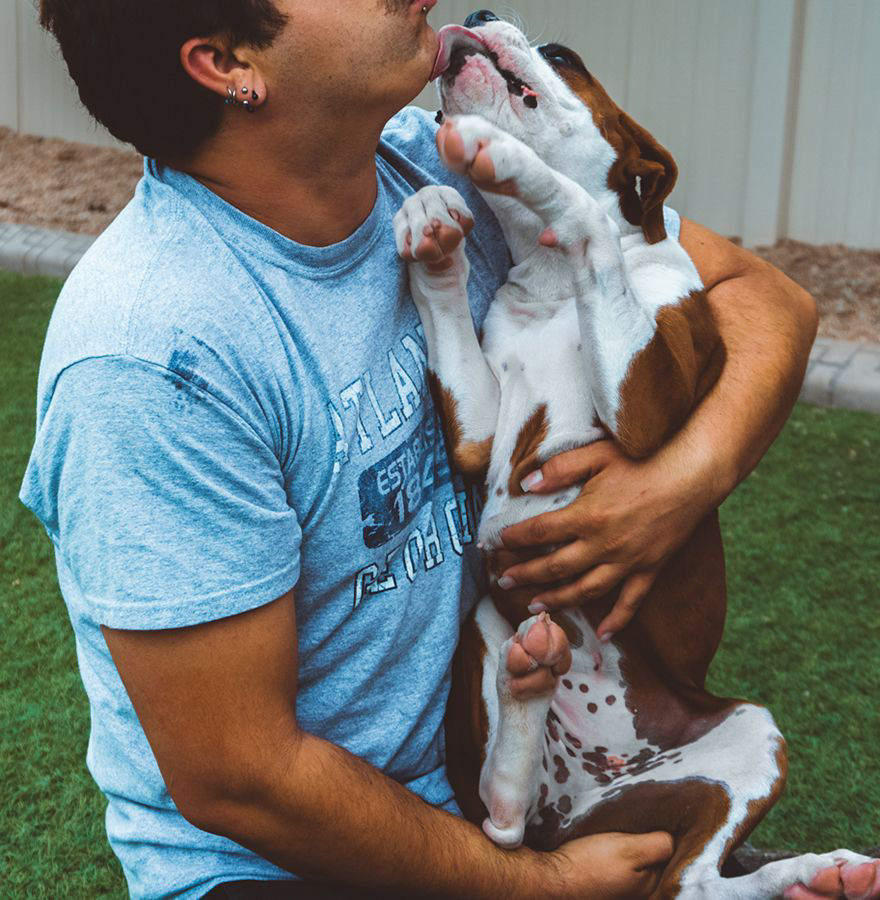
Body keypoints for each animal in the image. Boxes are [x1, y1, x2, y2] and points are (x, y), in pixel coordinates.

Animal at [394, 8, 880, 900]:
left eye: (563, 55)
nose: (474, 16)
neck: (552, 276)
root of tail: (585, 796)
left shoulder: (647, 402)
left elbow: (588, 217)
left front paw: (512, 164)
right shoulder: (478, 424)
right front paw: (432, 224)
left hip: (750, 733)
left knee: (687, 881)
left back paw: (820, 873)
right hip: (486, 624)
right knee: (505, 821)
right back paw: (529, 689)